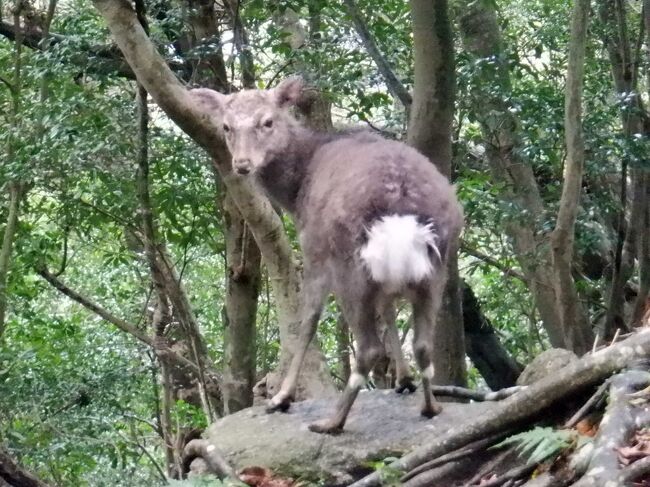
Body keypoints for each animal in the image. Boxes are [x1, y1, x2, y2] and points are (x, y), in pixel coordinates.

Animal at [190, 77, 464, 434]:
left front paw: (282, 397)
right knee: (422, 343)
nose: (242, 164)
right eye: (226, 126)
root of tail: (402, 209)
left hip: (350, 264)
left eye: (268, 121)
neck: (296, 190)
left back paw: (331, 421)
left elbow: (306, 321)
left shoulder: (313, 249)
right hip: (437, 266)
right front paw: (404, 380)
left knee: (369, 346)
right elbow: (389, 311)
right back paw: (430, 407)